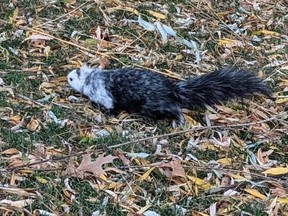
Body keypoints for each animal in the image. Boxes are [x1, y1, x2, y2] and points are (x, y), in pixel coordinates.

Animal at [66, 64, 272, 124]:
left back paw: (178, 120)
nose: (66, 78)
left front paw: (109, 114)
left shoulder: (101, 94)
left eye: (71, 78)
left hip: (151, 105)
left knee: (173, 109)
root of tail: (172, 90)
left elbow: (108, 105)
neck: (90, 78)